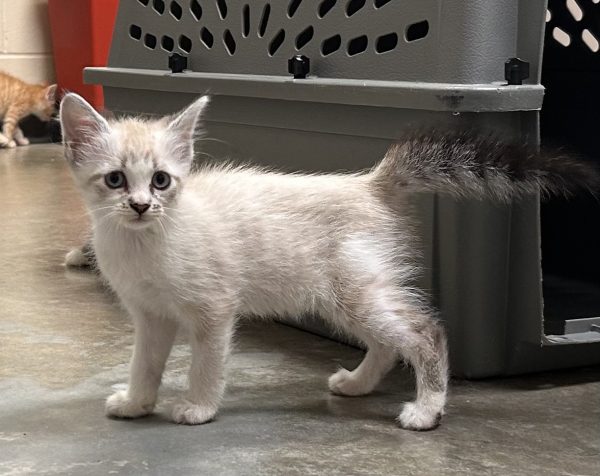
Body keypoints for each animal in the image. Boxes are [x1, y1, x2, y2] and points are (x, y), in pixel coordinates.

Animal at [59, 93, 598, 431]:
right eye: (114, 180)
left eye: (162, 180)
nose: (140, 206)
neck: (143, 243)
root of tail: (369, 181)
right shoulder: (151, 316)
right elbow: (144, 363)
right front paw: (137, 402)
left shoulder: (214, 309)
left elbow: (205, 364)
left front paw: (198, 407)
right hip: (344, 297)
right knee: (387, 343)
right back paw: (358, 384)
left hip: (351, 292)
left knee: (426, 332)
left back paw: (427, 410)